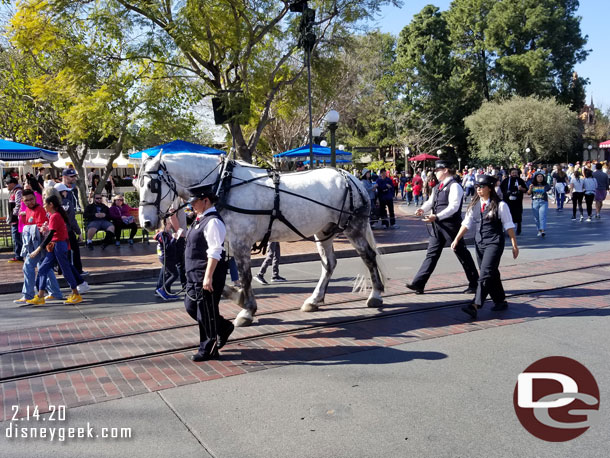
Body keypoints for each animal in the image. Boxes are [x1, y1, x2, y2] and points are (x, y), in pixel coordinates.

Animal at [138, 152, 384, 328]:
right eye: (137, 185)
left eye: (152, 185)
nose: (146, 223)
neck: (223, 184)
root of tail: (352, 178)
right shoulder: (224, 242)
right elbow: (213, 277)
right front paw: (238, 298)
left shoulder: (240, 242)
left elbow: (245, 276)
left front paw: (246, 310)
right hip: (324, 231)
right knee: (329, 264)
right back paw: (314, 300)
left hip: (354, 227)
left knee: (368, 257)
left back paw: (375, 295)